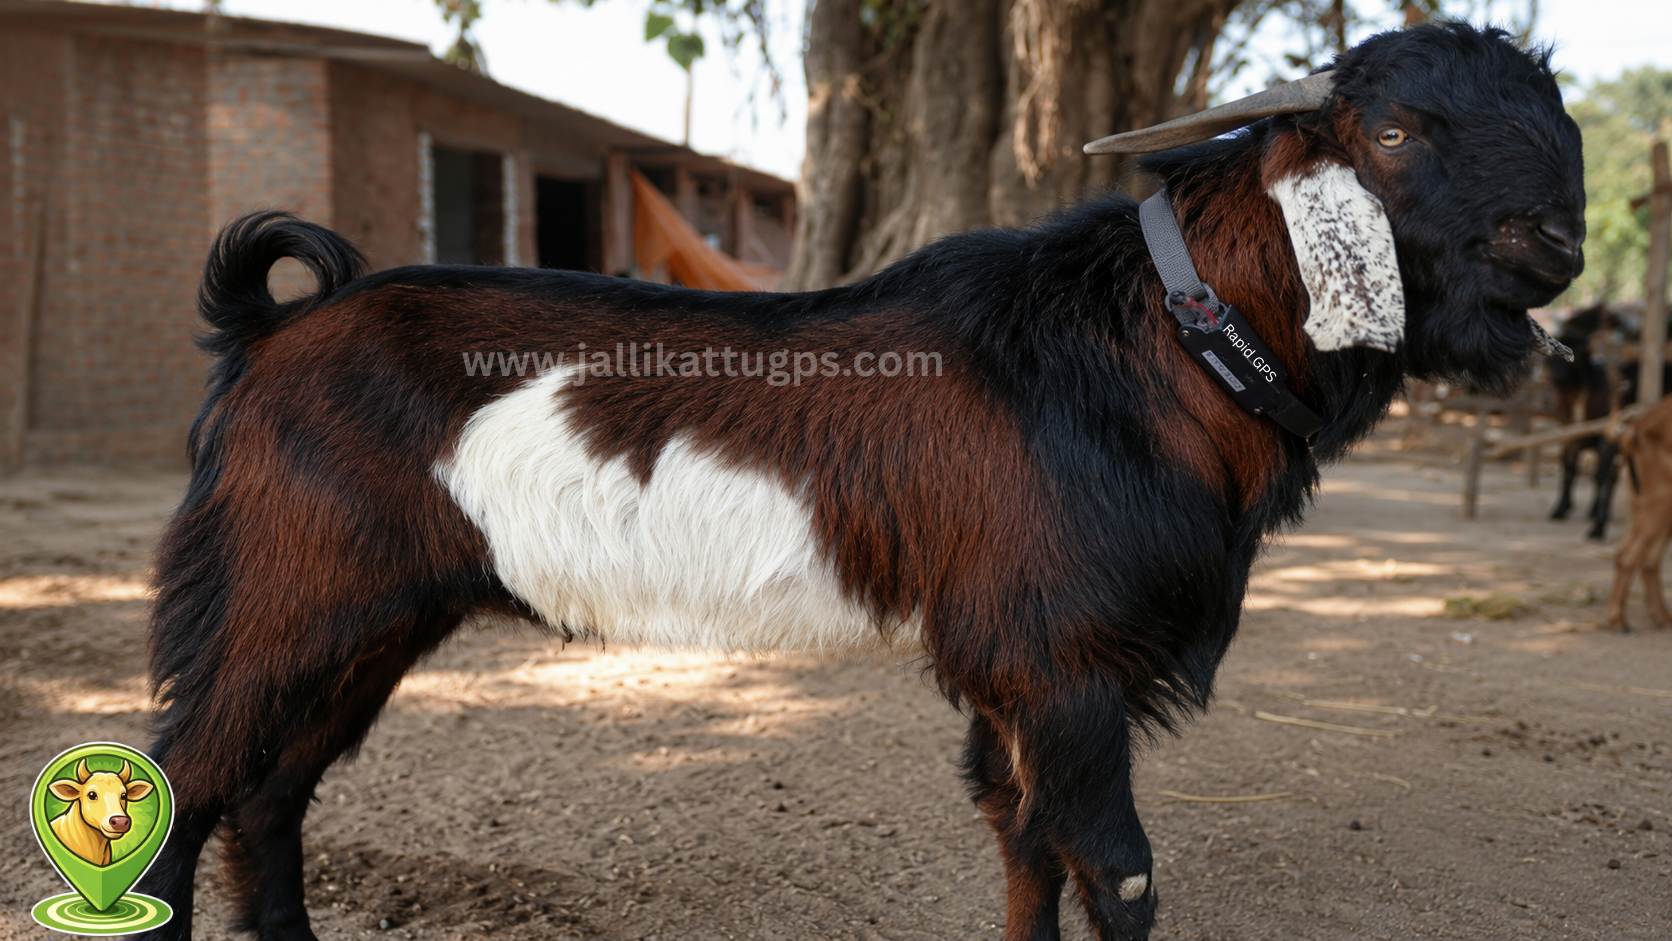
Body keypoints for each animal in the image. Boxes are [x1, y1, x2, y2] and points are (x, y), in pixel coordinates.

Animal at [137, 24, 1582, 941]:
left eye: (1560, 131)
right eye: (1392, 131)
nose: (1561, 244)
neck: (1152, 343)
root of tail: (269, 327)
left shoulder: (1014, 664)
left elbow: (1023, 844)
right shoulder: (1061, 656)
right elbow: (1115, 871)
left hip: (367, 617)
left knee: (270, 791)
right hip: (275, 590)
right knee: (190, 780)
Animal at [1605, 396, 1672, 632]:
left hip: (1650, 509)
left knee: (1645, 559)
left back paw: (1662, 617)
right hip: (1661, 505)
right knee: (1630, 556)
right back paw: (1618, 620)